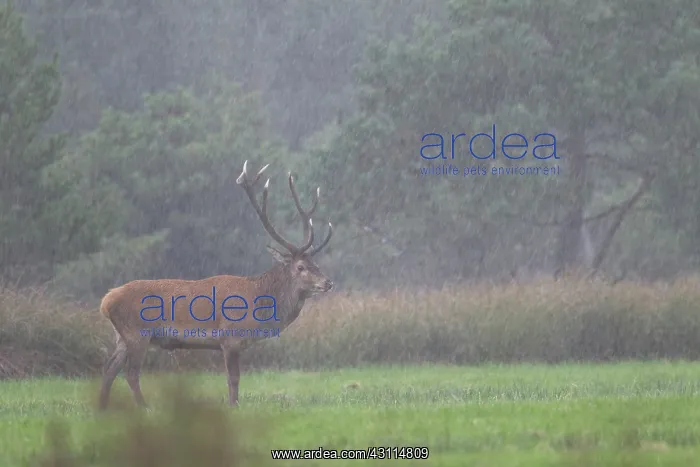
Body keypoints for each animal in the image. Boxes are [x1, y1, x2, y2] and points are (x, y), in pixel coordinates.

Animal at [98, 160, 334, 410]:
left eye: (316, 263)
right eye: (301, 267)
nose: (328, 282)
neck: (259, 302)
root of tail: (106, 301)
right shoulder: (229, 337)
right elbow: (233, 378)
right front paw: (233, 407)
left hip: (121, 336)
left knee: (109, 368)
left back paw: (102, 408)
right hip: (137, 332)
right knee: (131, 372)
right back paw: (144, 408)